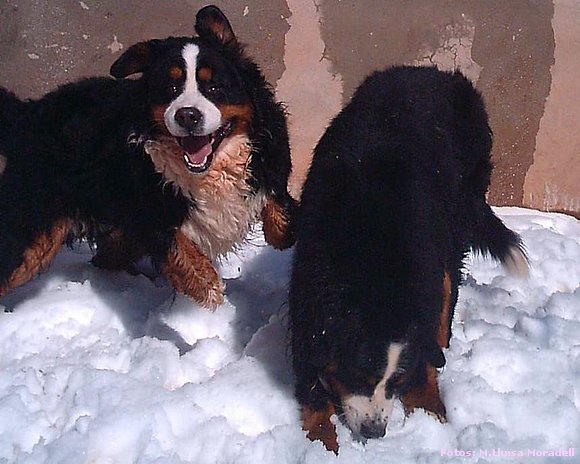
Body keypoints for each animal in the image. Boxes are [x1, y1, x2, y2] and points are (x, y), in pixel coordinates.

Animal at [0, 6, 296, 308]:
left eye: (214, 87)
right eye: (171, 88)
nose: (187, 115)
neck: (210, 172)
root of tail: (28, 112)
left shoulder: (270, 165)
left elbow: (281, 223)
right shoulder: (149, 209)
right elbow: (183, 255)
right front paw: (209, 291)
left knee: (106, 254)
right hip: (32, 231)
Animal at [290, 64, 532, 450]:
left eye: (396, 382)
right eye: (360, 374)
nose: (374, 431)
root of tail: (433, 72)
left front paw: (432, 411)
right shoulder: (309, 284)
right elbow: (311, 376)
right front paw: (321, 443)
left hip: (458, 212)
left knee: (450, 281)